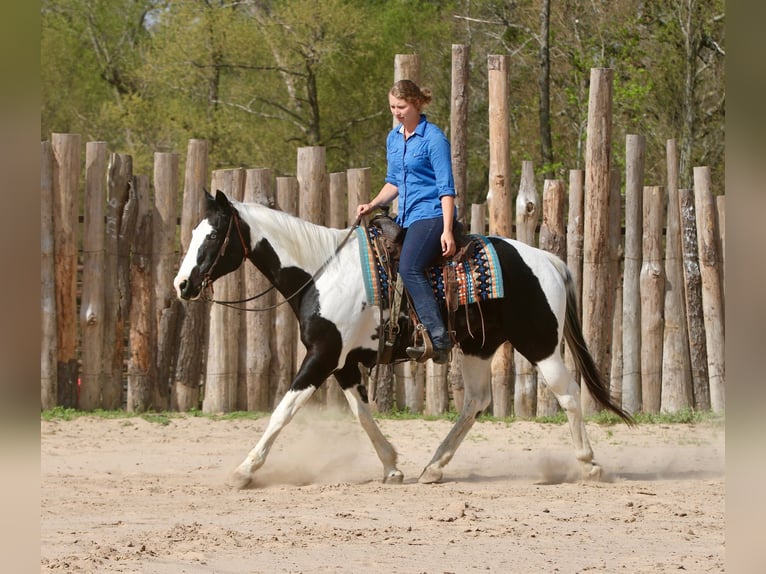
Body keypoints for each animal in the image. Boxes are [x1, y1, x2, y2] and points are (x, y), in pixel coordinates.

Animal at [173, 189, 633, 488]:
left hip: (539, 344)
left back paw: (589, 465)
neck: (321, 271)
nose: (182, 285)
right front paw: (392, 466)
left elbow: (284, 410)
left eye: (212, 236)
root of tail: (549, 260)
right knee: (476, 401)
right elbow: (361, 412)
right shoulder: (342, 361)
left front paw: (244, 471)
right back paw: (434, 467)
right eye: (192, 232)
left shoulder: (322, 355)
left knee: (568, 394)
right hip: (477, 347)